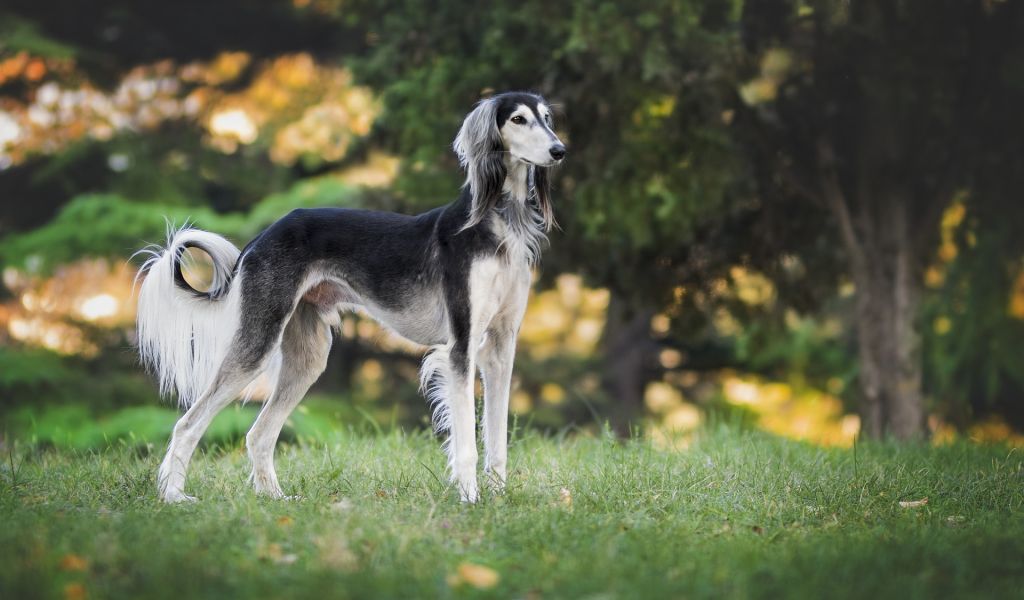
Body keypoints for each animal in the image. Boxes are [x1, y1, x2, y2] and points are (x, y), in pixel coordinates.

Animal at [134, 91, 569, 501]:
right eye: (517, 119)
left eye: (547, 118)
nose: (559, 150)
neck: (497, 222)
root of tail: (262, 236)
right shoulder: (460, 347)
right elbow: (467, 442)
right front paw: (469, 498)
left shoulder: (500, 347)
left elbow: (497, 437)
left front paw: (497, 497)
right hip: (258, 341)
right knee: (188, 423)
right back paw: (173, 496)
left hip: (308, 356)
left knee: (258, 434)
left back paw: (274, 498)